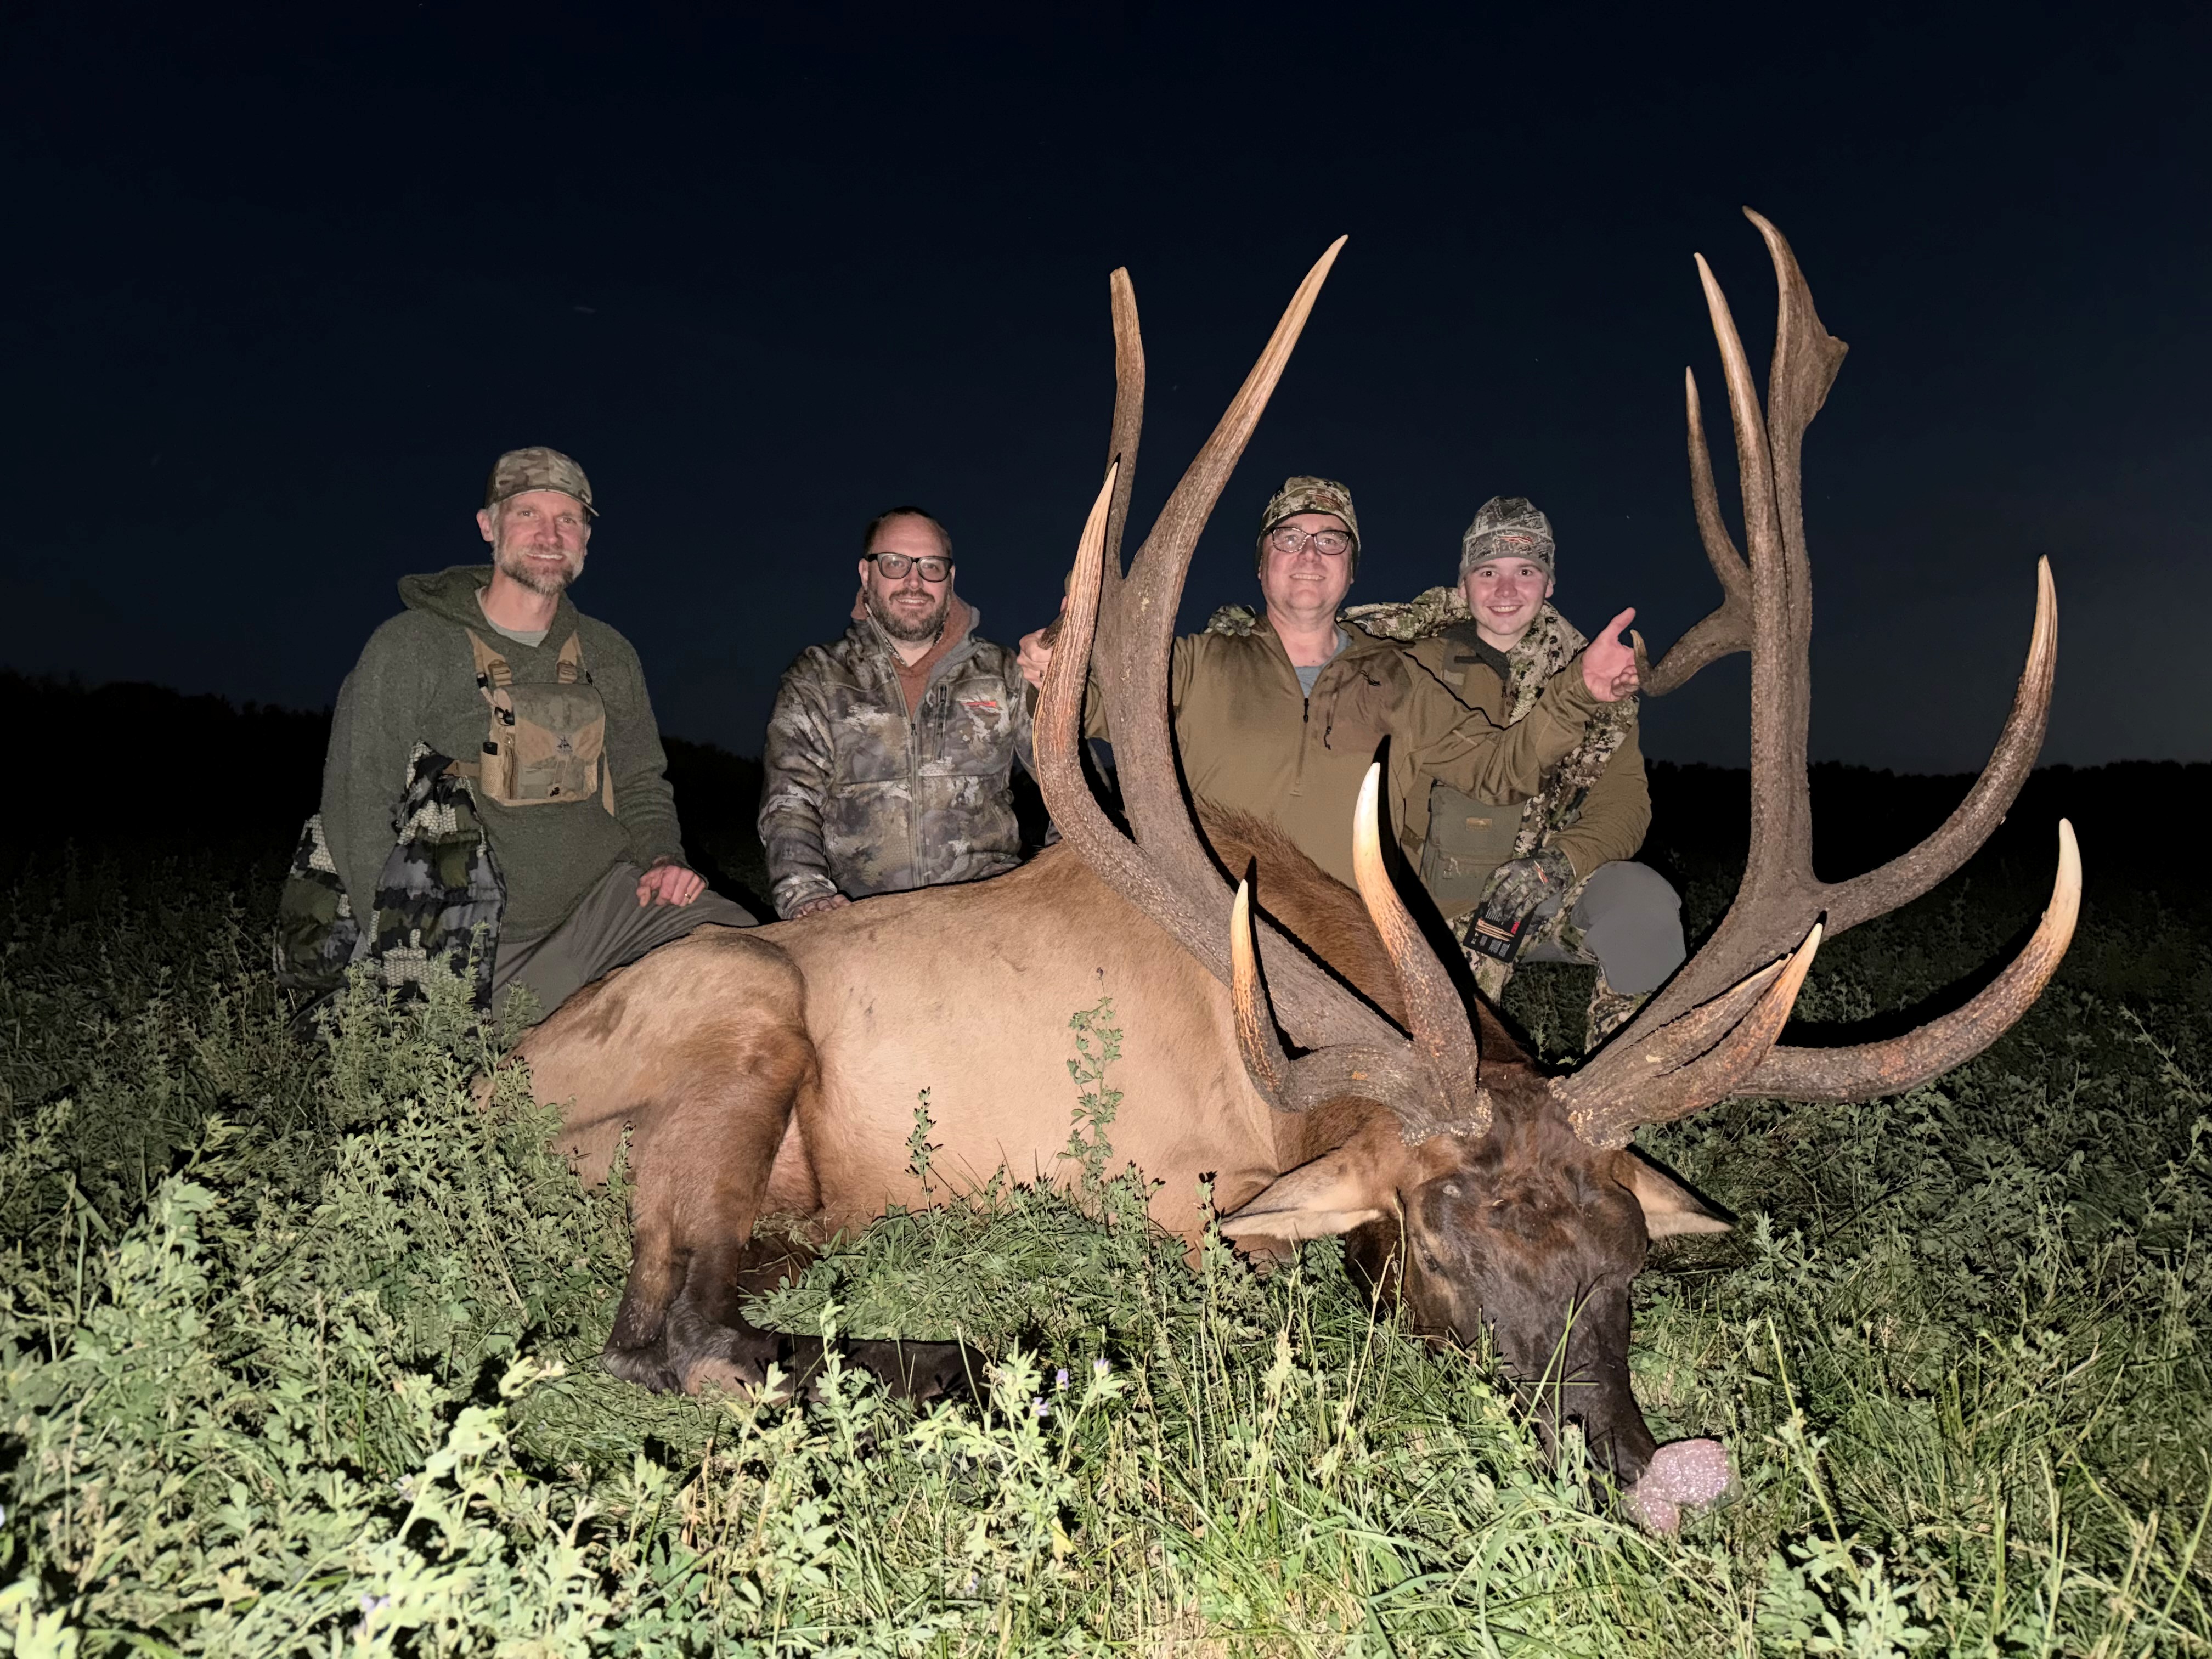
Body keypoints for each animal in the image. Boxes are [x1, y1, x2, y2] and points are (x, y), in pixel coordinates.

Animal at [506, 209, 2077, 1529]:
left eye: (1628, 1266)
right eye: (1441, 1246)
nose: (1657, 1477)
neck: (1275, 1072)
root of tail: (489, 1086)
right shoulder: (1178, 1205)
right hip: (739, 1012)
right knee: (665, 1336)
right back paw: (1025, 1365)